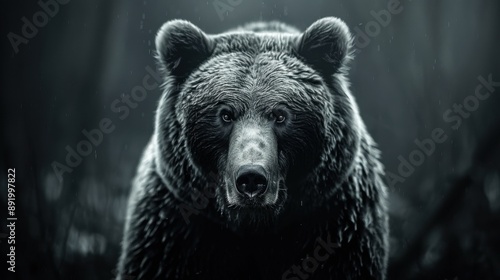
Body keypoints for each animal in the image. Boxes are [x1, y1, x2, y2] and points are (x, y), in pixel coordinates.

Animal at [118, 17, 390, 280]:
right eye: (225, 115)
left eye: (280, 115)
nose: (251, 178)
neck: (255, 226)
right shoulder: (173, 228)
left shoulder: (337, 223)